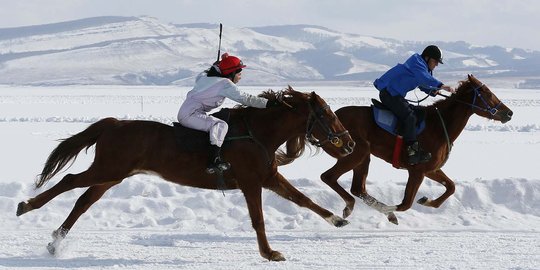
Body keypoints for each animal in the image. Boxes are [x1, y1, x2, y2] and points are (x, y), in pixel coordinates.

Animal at [14, 86, 354, 262]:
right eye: (327, 113)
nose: (349, 142)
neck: (257, 133)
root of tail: (114, 123)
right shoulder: (250, 182)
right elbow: (258, 219)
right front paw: (269, 253)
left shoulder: (268, 178)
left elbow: (303, 199)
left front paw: (337, 219)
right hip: (107, 169)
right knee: (70, 182)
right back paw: (26, 206)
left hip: (112, 176)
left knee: (83, 201)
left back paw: (55, 242)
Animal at [280, 74, 512, 224]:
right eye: (486, 92)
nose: (508, 113)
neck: (439, 124)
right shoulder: (417, 171)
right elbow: (406, 203)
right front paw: (392, 209)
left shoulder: (430, 169)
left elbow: (451, 187)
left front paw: (427, 201)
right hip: (356, 152)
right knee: (329, 177)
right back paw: (355, 208)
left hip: (363, 156)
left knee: (358, 188)